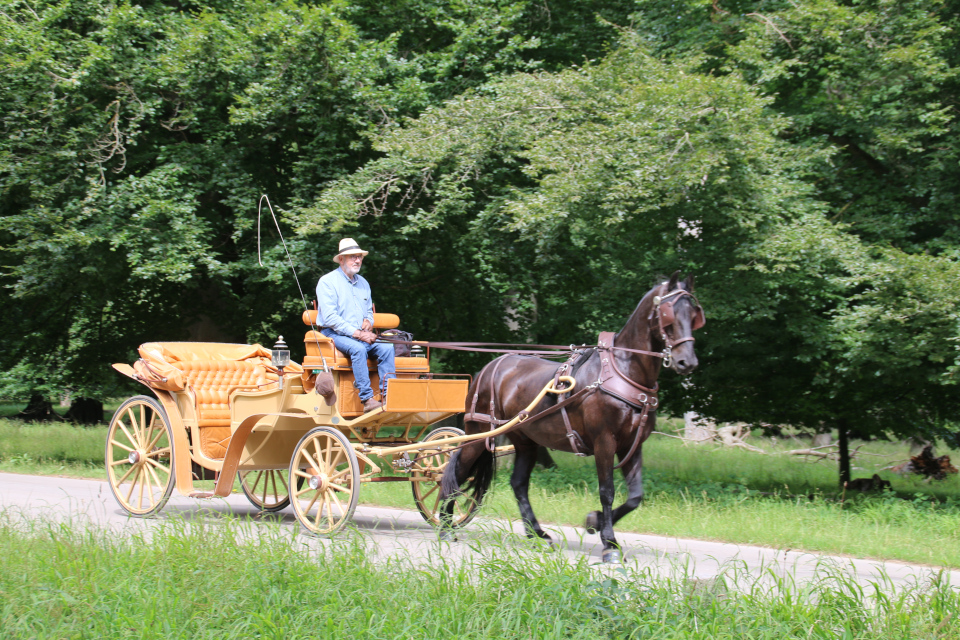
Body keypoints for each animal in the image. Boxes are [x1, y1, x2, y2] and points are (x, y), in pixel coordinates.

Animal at [438, 272, 700, 564]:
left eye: (694, 314)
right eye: (668, 314)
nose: (687, 362)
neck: (623, 371)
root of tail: (489, 367)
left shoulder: (632, 445)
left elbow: (635, 496)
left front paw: (595, 522)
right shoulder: (604, 442)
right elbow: (607, 491)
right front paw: (609, 543)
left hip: (525, 440)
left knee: (518, 484)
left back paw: (537, 535)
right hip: (479, 432)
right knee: (456, 472)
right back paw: (446, 526)